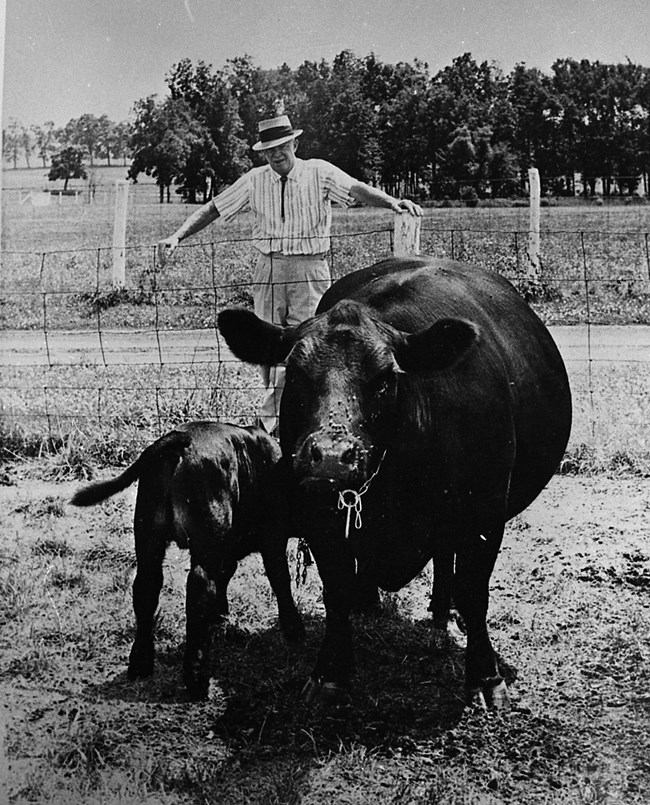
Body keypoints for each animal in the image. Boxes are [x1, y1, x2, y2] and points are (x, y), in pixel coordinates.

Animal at [70, 422, 305, 699]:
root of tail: (182, 437)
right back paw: (196, 680)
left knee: (146, 588)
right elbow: (280, 579)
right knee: (199, 589)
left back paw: (141, 664)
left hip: (149, 538)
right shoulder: (273, 537)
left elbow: (226, 577)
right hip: (206, 543)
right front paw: (294, 628)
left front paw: (221, 616)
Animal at [217, 256, 572, 710]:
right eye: (294, 374)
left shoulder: (484, 513)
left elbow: (474, 593)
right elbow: (336, 591)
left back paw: (442, 612)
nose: (331, 455)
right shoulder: (320, 518)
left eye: (386, 376)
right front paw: (329, 673)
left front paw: (485, 677)